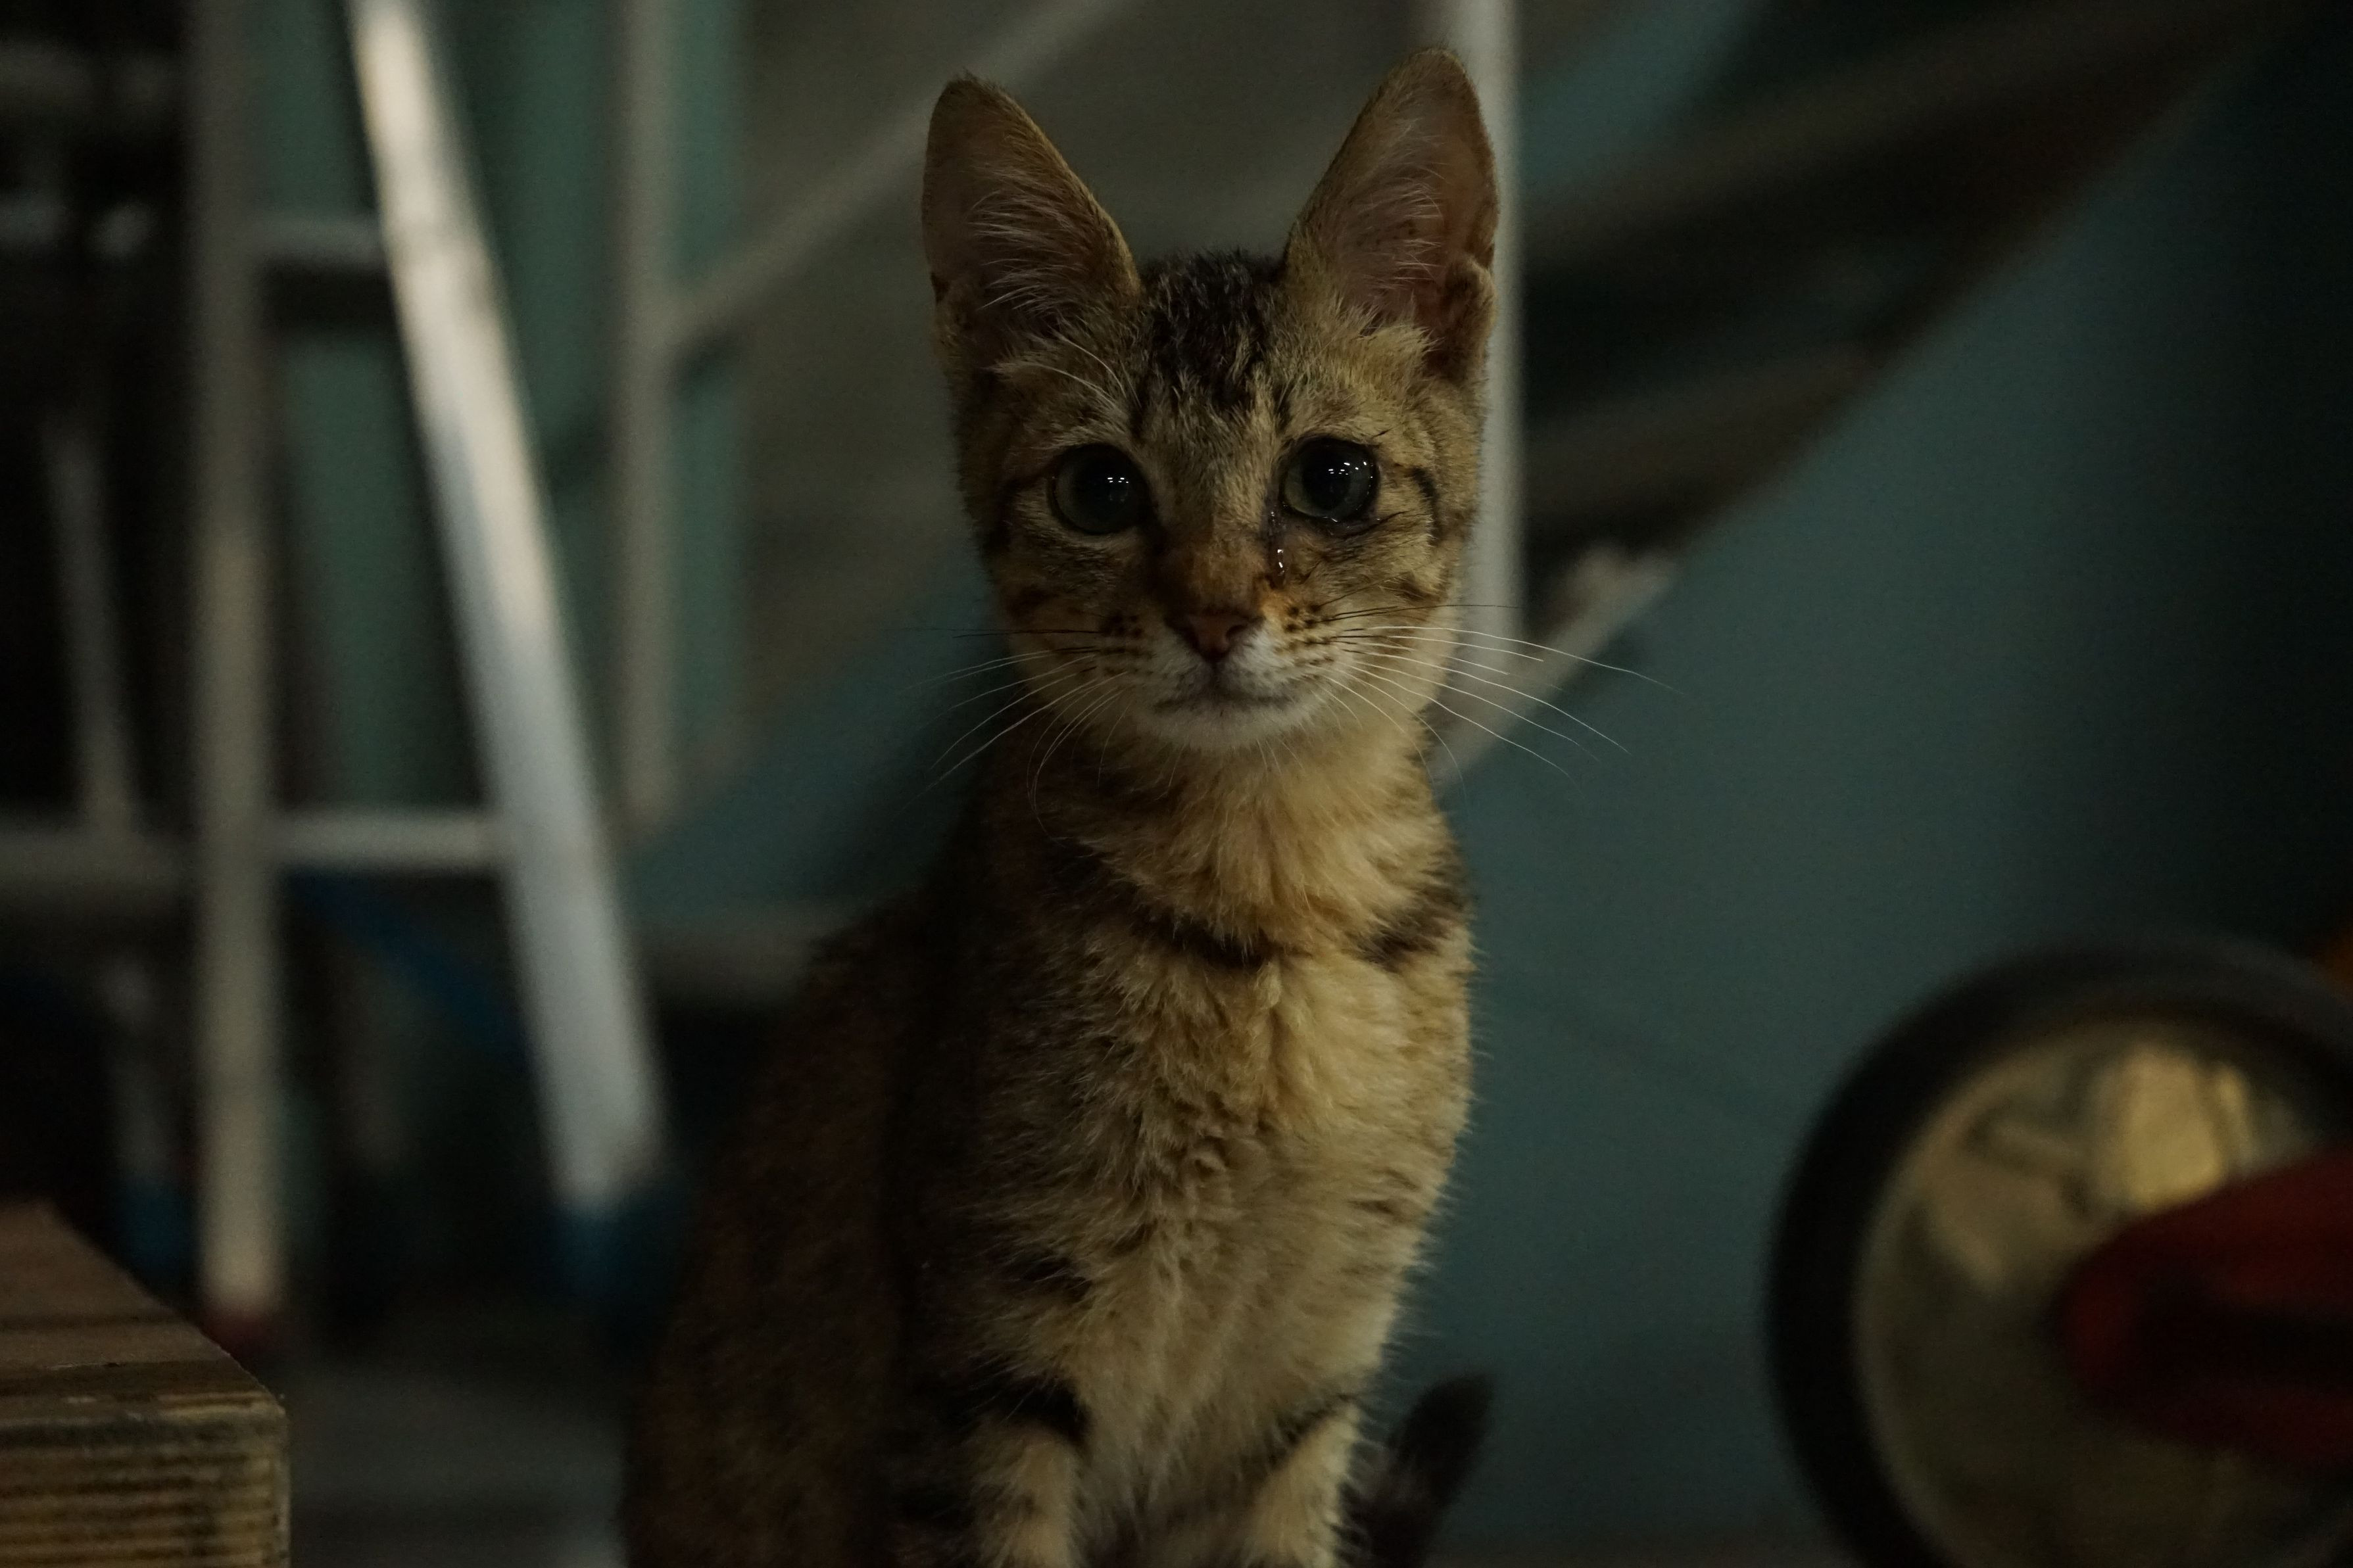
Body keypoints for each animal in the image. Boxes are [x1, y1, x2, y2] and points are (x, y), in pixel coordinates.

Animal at [625, 46, 1497, 1568]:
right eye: (1100, 488)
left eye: (1330, 477)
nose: (1213, 616)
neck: (1281, 898)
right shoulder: (986, 1368)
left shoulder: (1306, 1387)